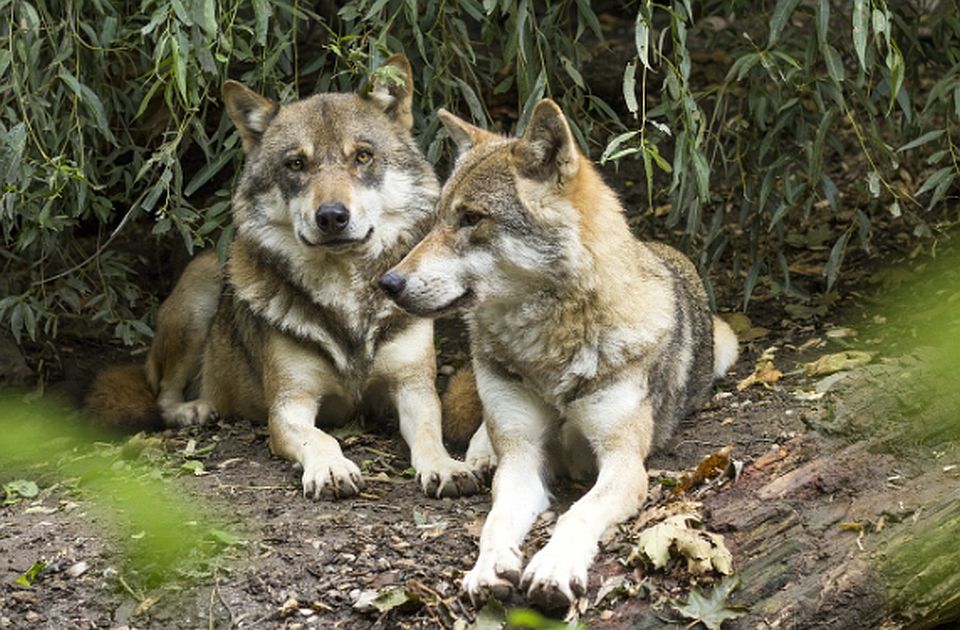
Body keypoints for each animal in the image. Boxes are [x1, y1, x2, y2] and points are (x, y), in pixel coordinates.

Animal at [86, 54, 484, 502]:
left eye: (362, 157)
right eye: (296, 164)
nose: (332, 216)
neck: (345, 295)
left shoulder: (414, 390)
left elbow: (431, 435)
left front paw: (446, 467)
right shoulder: (289, 405)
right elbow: (321, 438)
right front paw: (331, 469)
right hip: (201, 292)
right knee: (161, 395)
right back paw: (195, 408)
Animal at [378, 101, 740, 608]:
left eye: (471, 218)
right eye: (438, 219)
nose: (387, 283)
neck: (549, 352)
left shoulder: (624, 463)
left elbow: (579, 514)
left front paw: (553, 567)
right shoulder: (523, 459)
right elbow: (496, 521)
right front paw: (488, 568)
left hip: (728, 345)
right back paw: (480, 455)